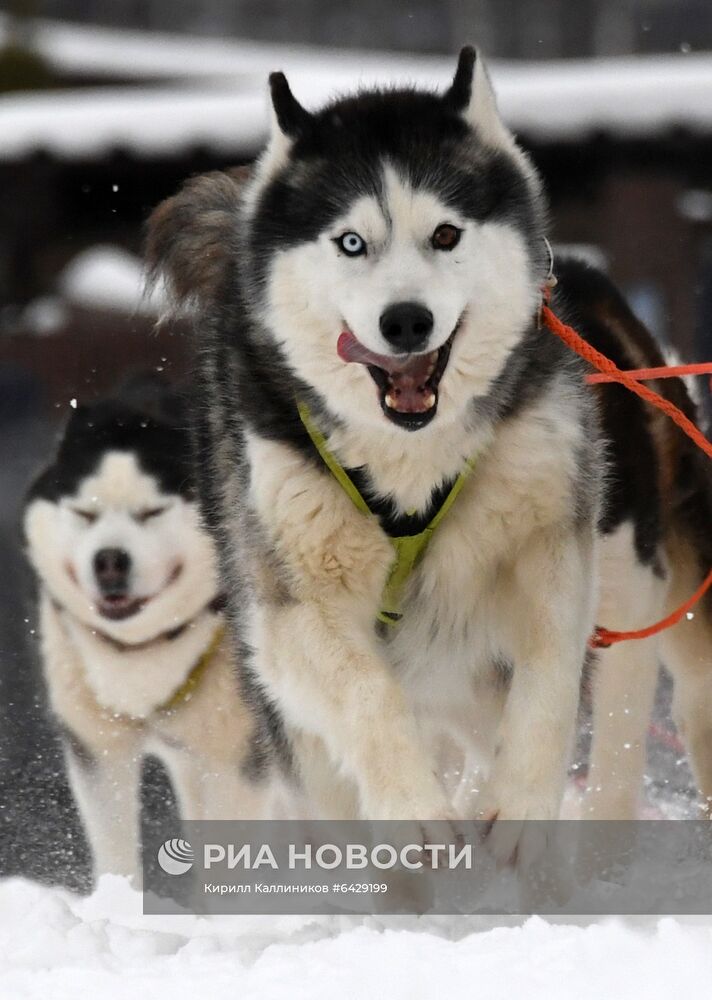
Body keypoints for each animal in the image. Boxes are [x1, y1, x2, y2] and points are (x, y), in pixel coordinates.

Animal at [24, 390, 270, 884]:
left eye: (152, 512)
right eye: (85, 513)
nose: (109, 561)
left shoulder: (238, 755)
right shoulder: (99, 747)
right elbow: (116, 853)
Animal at [147, 45, 712, 836]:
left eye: (446, 234)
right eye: (351, 242)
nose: (406, 320)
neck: (412, 465)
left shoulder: (554, 553)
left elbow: (548, 675)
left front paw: (520, 805)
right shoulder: (296, 610)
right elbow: (368, 695)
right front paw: (414, 811)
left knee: (635, 738)